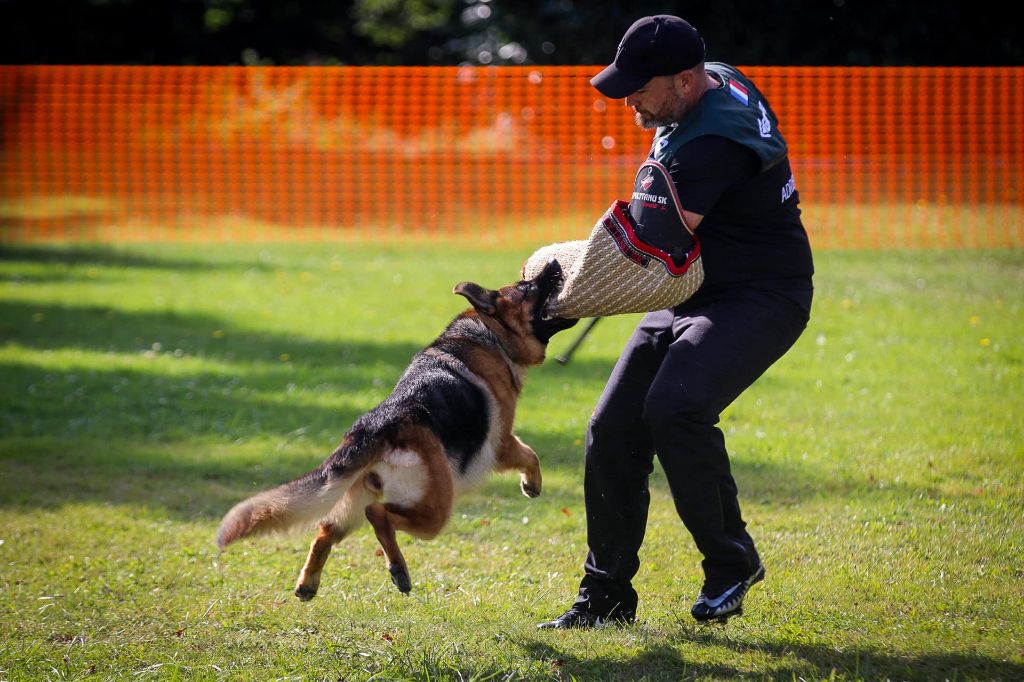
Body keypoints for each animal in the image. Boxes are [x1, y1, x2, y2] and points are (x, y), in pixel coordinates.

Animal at [217, 258, 577, 598]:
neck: (492, 334)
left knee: (325, 531)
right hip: (435, 510)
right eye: (528, 287)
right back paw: (398, 569)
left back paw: (309, 584)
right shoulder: (502, 443)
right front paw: (532, 484)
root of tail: (372, 428)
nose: (554, 264)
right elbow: (530, 454)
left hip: (354, 500)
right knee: (378, 515)